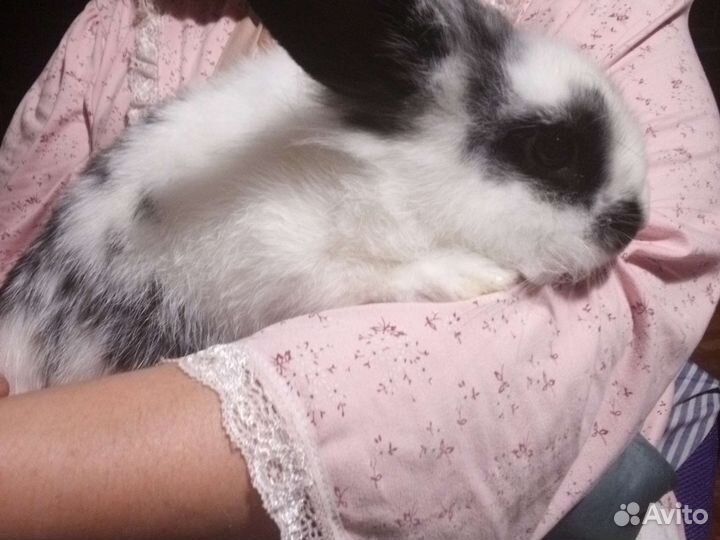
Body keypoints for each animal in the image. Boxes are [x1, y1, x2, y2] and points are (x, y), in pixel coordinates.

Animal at [0, 0, 648, 394]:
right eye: (552, 149)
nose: (634, 224)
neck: (387, 173)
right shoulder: (277, 257)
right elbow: (370, 277)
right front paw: (474, 276)